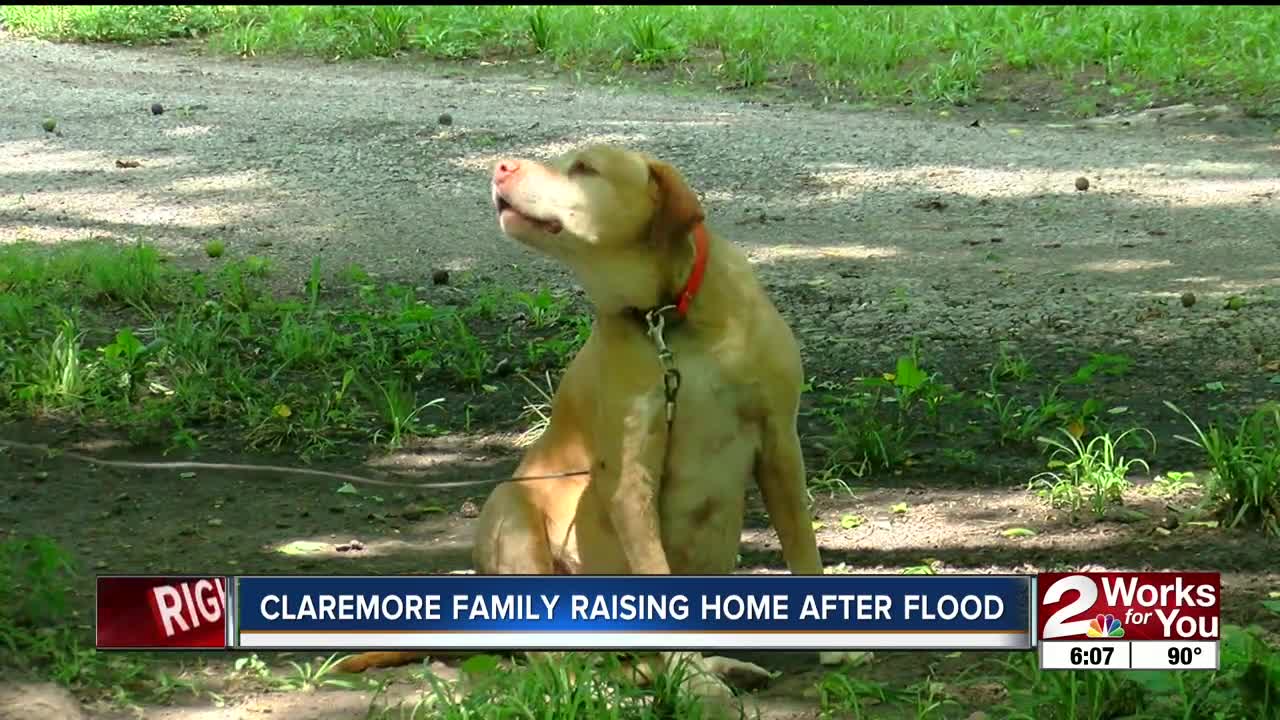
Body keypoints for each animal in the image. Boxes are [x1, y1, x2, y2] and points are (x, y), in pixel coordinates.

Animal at [335, 144, 865, 691]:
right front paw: (694, 683)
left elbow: (803, 545)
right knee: (559, 662)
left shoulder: (780, 444)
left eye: (584, 167)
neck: (668, 317)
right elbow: (657, 584)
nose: (501, 166)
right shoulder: (630, 478)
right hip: (514, 515)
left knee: (627, 660)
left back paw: (720, 666)